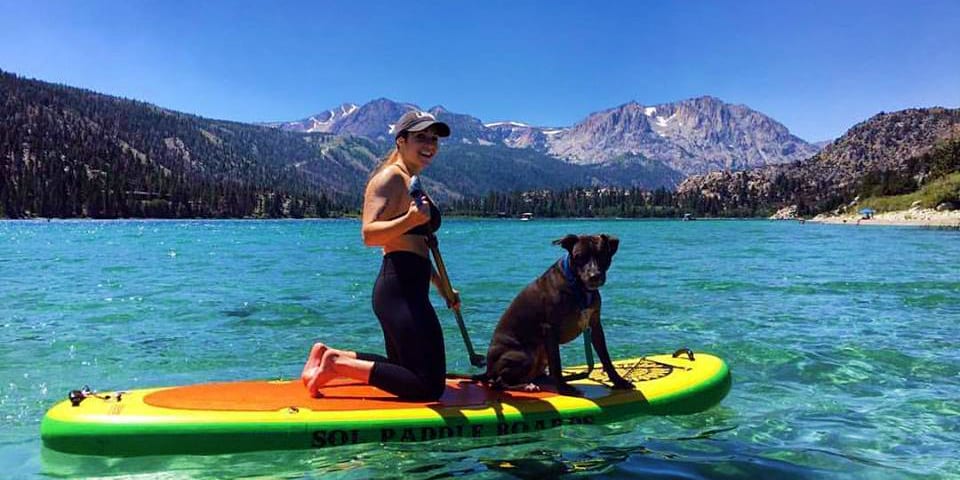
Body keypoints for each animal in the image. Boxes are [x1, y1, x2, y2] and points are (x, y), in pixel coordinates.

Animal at [484, 234, 632, 396]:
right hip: (522, 355)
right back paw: (526, 386)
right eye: (579, 256)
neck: (578, 287)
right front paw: (564, 388)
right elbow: (556, 362)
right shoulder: (550, 329)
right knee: (498, 382)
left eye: (602, 254)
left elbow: (606, 357)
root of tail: (487, 370)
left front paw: (618, 381)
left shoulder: (595, 326)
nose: (594, 276)